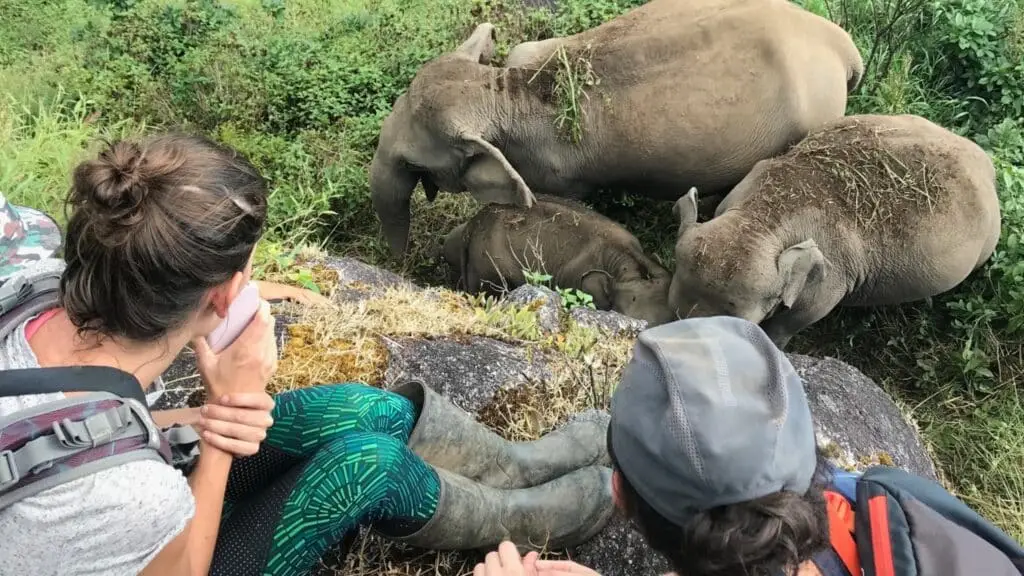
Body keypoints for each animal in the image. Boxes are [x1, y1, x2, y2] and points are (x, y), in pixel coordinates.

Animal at [667, 114, 1002, 349]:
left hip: (987, 244)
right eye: (673, 312)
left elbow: (800, 318)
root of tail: (984, 159)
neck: (762, 219)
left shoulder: (834, 275)